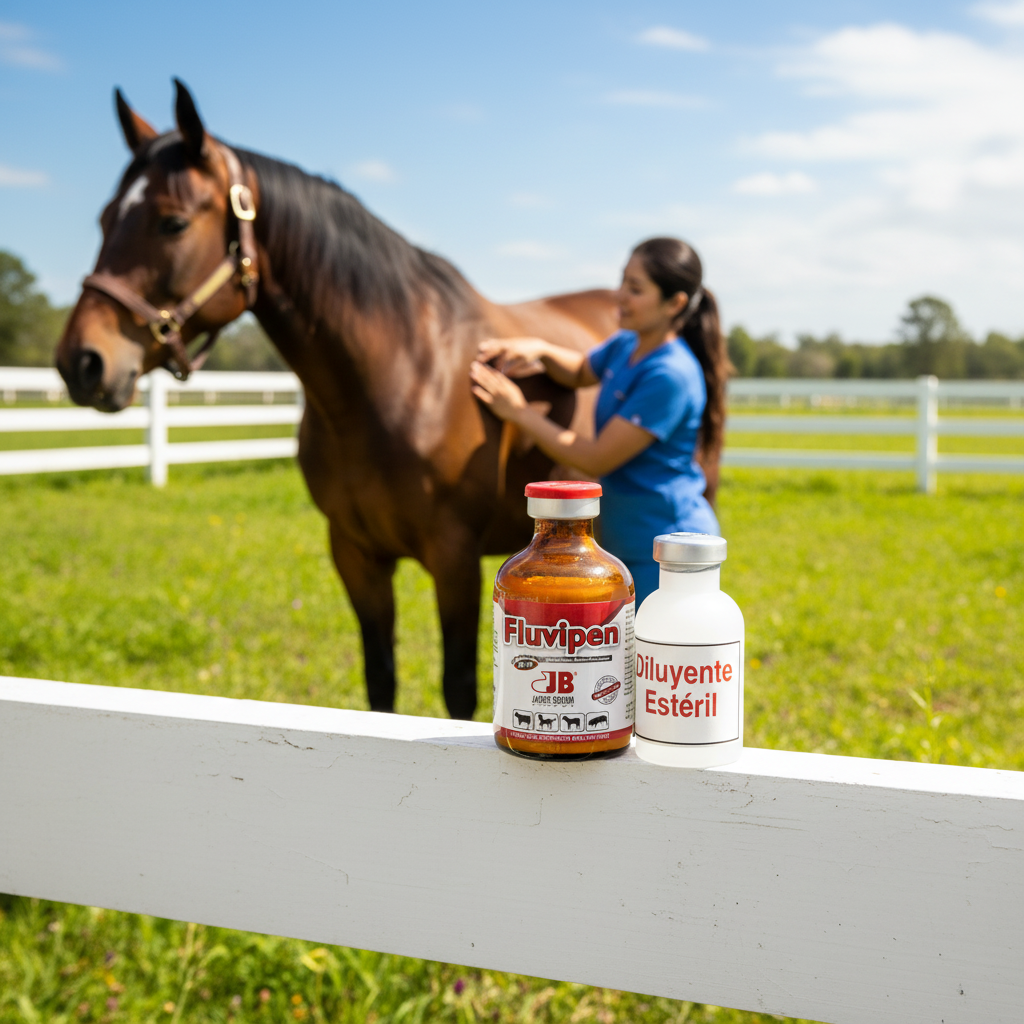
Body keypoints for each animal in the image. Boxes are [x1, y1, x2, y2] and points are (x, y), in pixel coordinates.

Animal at [56, 80, 618, 720]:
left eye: (171, 223)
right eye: (105, 219)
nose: (81, 361)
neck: (397, 375)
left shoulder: (455, 560)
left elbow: (460, 688)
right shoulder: (354, 554)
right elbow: (379, 680)